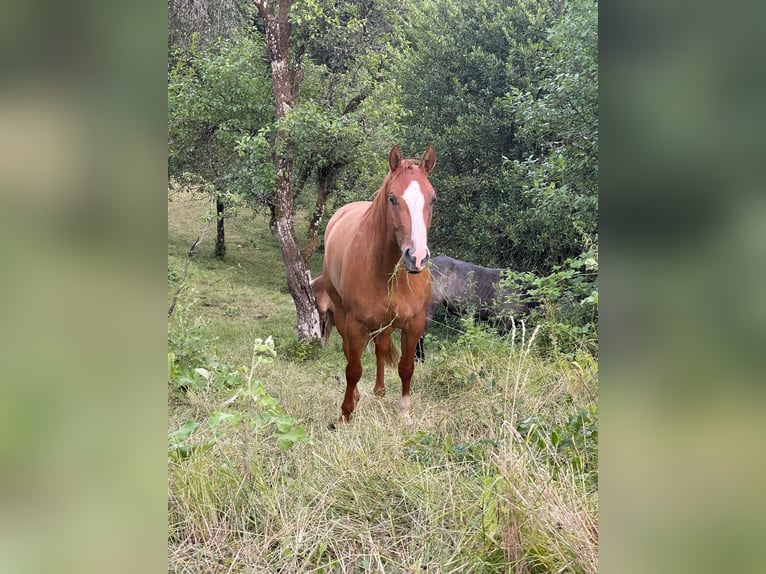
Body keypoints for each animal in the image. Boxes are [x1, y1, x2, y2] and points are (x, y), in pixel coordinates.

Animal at [321, 144, 437, 427]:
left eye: (433, 199)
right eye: (393, 199)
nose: (417, 257)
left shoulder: (413, 323)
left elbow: (406, 367)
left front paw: (404, 412)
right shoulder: (355, 324)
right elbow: (353, 370)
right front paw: (345, 414)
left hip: (385, 323)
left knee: (381, 349)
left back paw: (380, 391)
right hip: (341, 315)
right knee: (350, 352)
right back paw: (358, 397)